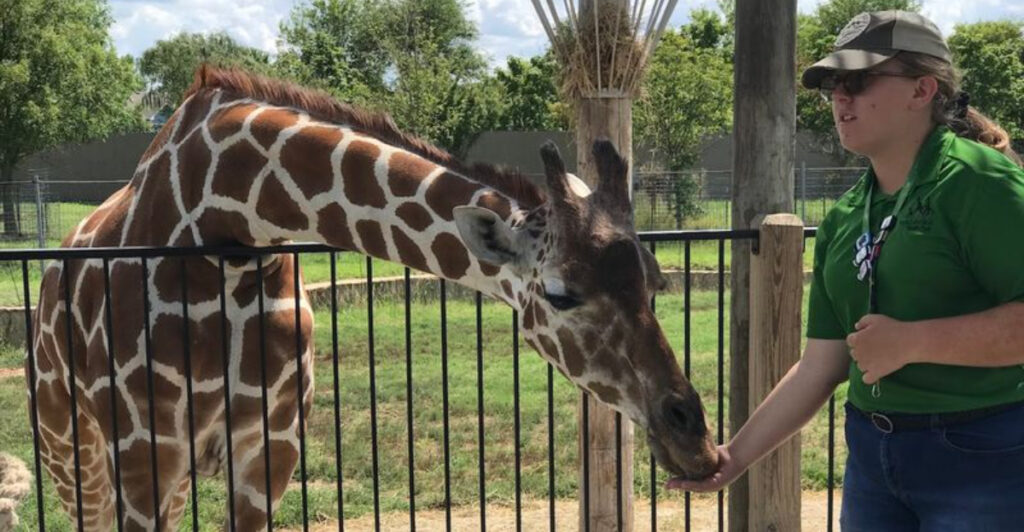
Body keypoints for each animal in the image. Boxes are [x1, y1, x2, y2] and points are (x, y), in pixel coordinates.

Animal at [28, 66, 719, 530]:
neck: (223, 224)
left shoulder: (269, 450)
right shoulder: (142, 454)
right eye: (559, 294)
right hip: (71, 452)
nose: (697, 442)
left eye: (656, 281)